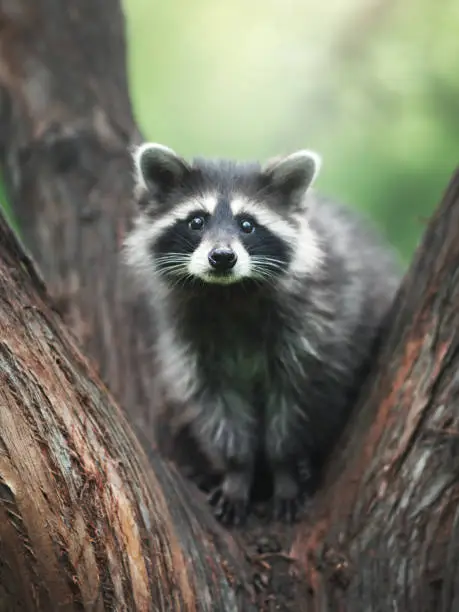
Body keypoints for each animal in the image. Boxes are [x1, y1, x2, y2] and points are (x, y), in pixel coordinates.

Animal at [123, 142, 402, 524]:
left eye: (247, 225)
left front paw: (285, 470)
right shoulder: (193, 342)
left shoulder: (317, 323)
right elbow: (217, 407)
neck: (228, 292)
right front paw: (236, 473)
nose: (222, 257)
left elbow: (299, 402)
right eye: (196, 221)